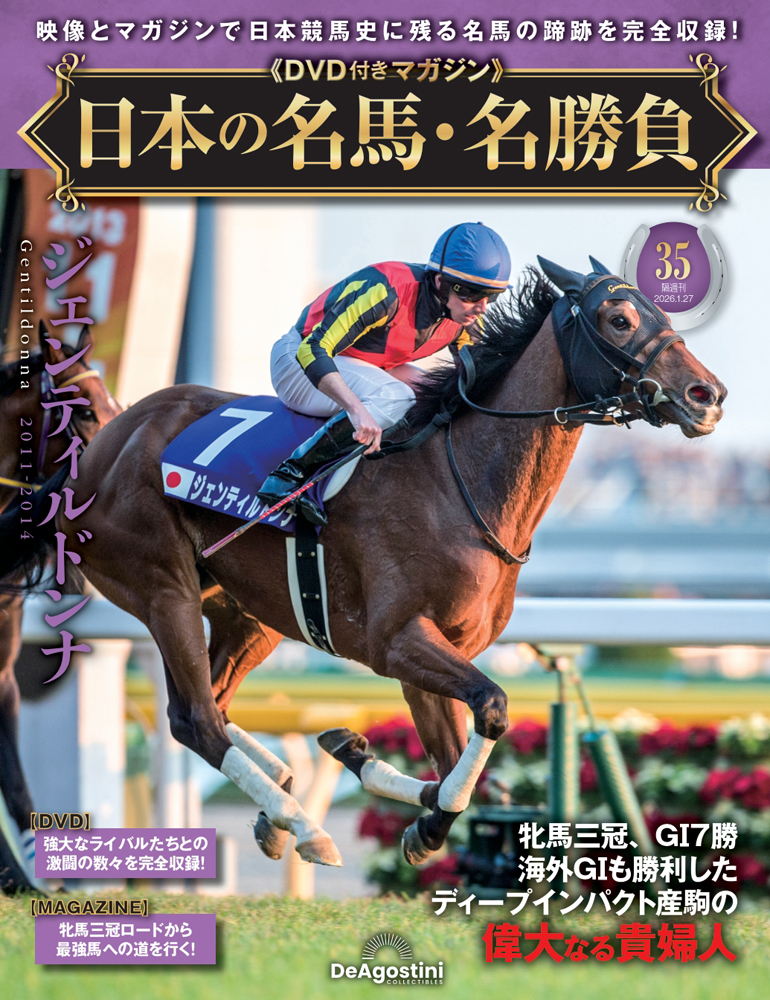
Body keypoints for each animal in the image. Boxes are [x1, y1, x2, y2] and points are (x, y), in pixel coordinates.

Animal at [0, 258, 726, 870]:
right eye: (619, 318)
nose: (707, 394)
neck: (459, 483)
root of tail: (95, 454)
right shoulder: (396, 640)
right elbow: (491, 709)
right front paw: (408, 809)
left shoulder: (434, 650)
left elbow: (455, 760)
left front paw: (392, 788)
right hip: (163, 589)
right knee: (196, 718)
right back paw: (301, 823)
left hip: (246, 612)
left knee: (212, 707)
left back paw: (290, 790)